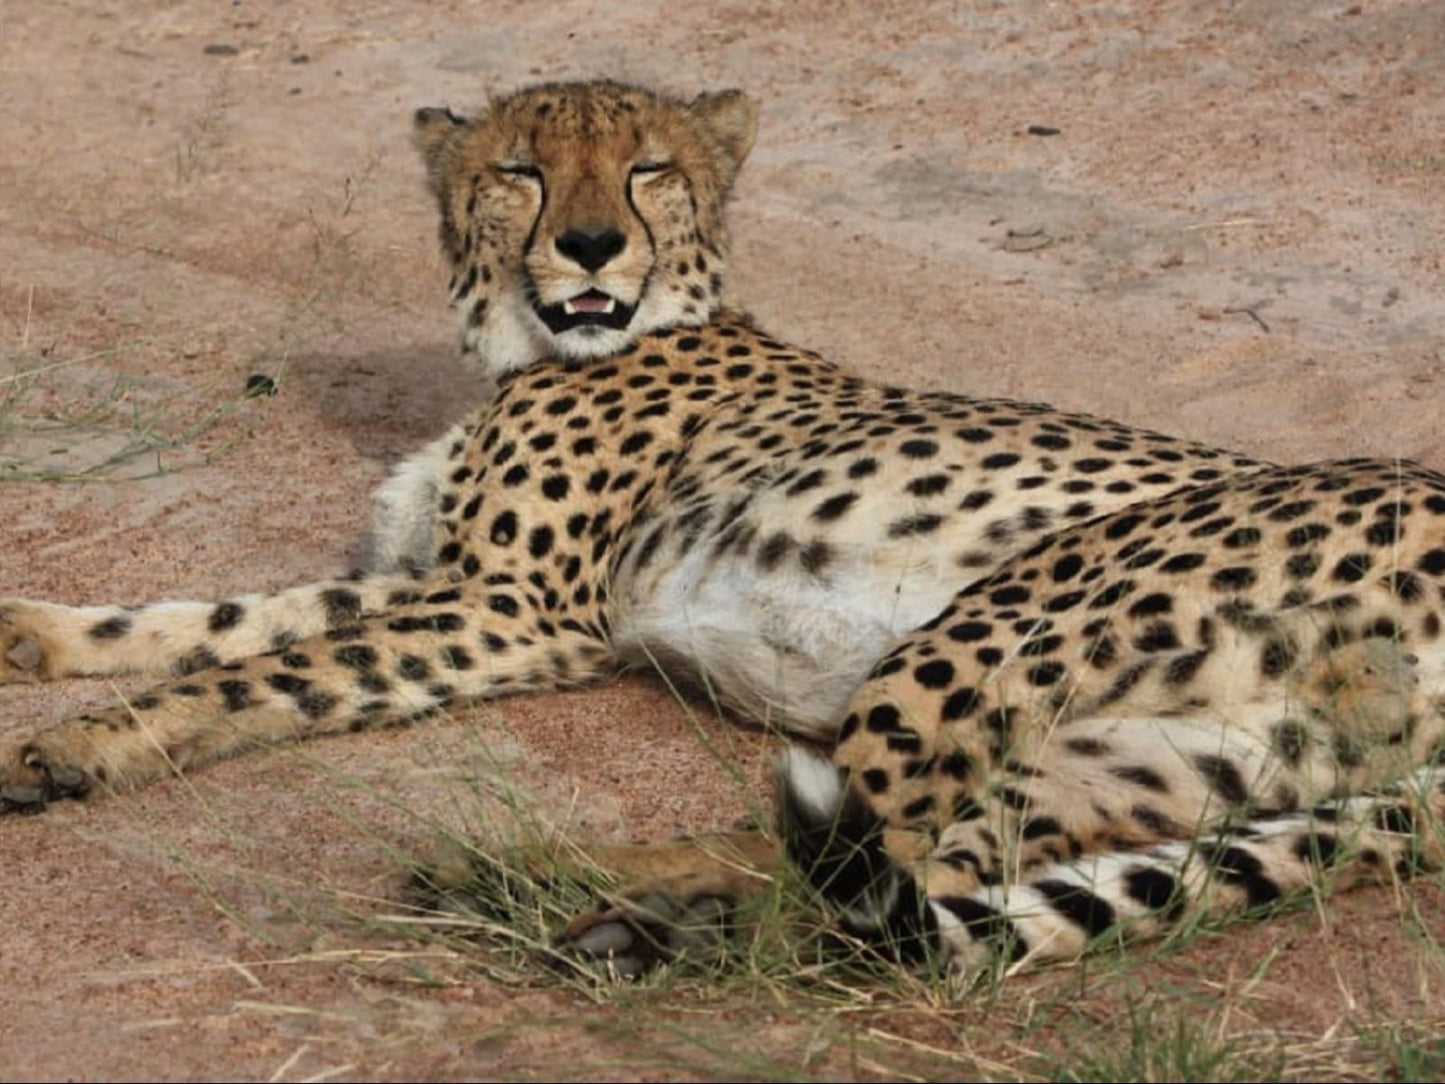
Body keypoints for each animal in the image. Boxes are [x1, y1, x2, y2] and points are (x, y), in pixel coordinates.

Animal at [2, 80, 1445, 982]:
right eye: (520, 172)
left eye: (648, 169)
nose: (591, 246)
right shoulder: (440, 581)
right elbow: (222, 618)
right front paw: (36, 650)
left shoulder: (515, 614)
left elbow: (271, 668)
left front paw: (74, 748)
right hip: (1195, 751)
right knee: (928, 855)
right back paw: (571, 891)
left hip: (998, 626)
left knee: (875, 855)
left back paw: (565, 898)